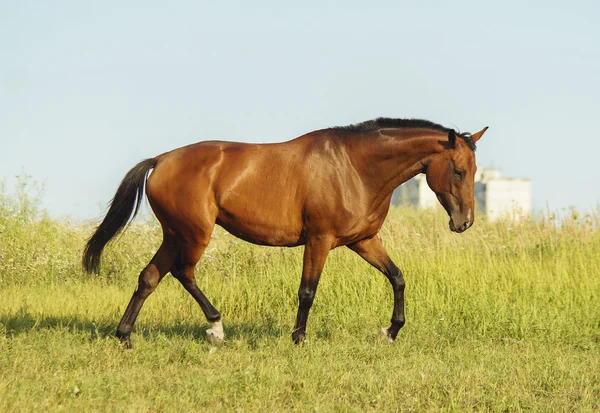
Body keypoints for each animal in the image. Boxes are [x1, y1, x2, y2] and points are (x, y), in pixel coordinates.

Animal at [83, 117, 488, 346]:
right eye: (458, 171)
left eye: (474, 171)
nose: (464, 222)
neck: (356, 167)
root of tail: (160, 160)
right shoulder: (320, 239)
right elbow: (308, 291)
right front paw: (298, 339)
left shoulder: (363, 240)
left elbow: (398, 277)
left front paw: (390, 332)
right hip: (194, 234)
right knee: (183, 272)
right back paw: (216, 328)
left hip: (174, 234)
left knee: (149, 277)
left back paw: (125, 336)